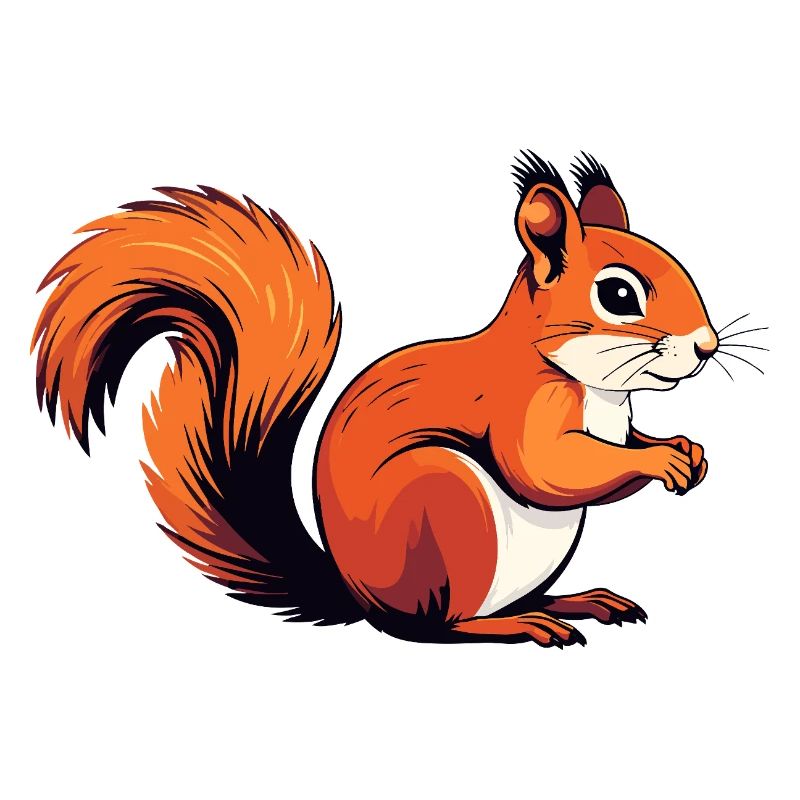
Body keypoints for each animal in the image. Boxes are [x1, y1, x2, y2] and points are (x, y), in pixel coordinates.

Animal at [32, 151, 718, 647]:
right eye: (618, 295)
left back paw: (579, 600)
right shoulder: (523, 406)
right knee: (436, 627)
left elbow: (618, 451)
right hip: (445, 503)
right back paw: (517, 624)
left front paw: (684, 450)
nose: (707, 347)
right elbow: (549, 470)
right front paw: (660, 461)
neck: (597, 388)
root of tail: (357, 597)